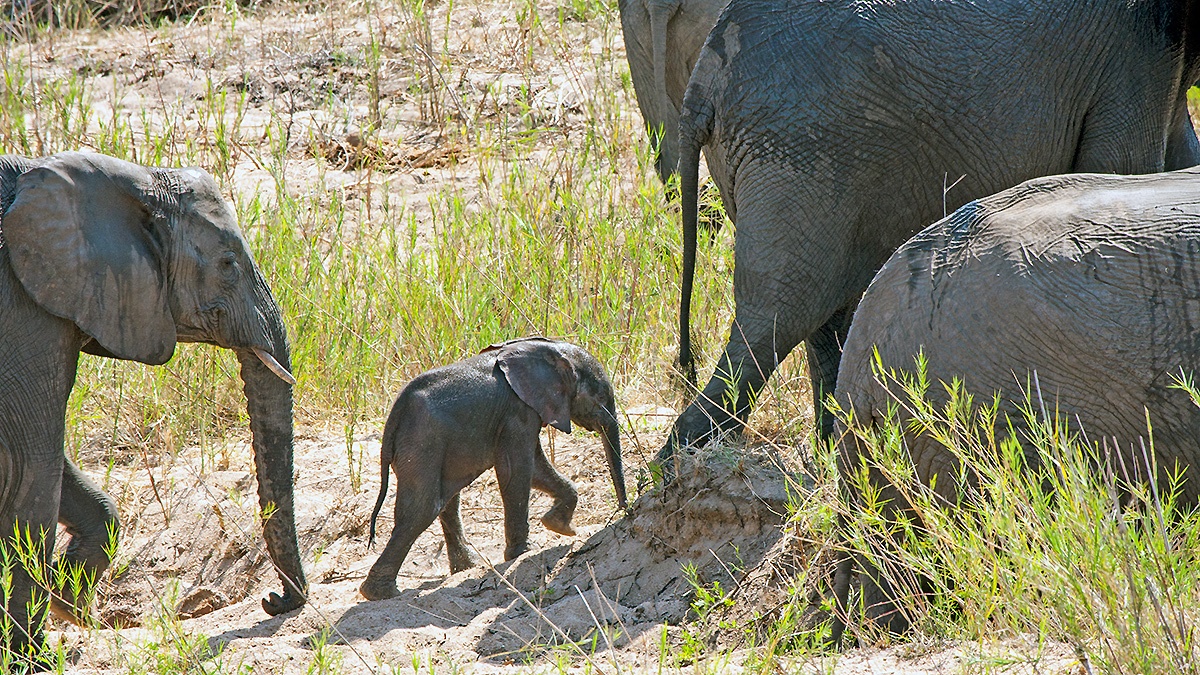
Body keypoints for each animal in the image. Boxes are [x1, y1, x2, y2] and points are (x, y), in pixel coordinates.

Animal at [0, 151, 307, 666]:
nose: (274, 601)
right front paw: (31, 658)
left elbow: (55, 467)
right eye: (228, 264)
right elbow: (32, 468)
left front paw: (67, 606)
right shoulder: (25, 313)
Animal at [359, 337, 627, 601]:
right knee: (423, 509)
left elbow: (535, 469)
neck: (547, 351)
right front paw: (524, 552)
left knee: (446, 502)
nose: (623, 508)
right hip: (421, 443)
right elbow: (517, 470)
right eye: (601, 397)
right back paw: (380, 593)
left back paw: (467, 568)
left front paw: (560, 527)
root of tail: (393, 417)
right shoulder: (517, 412)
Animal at [661, 0, 1200, 468]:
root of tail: (704, 81)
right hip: (798, 154)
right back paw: (681, 470)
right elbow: (1126, 164)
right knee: (779, 318)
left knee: (823, 317)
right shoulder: (1133, 57)